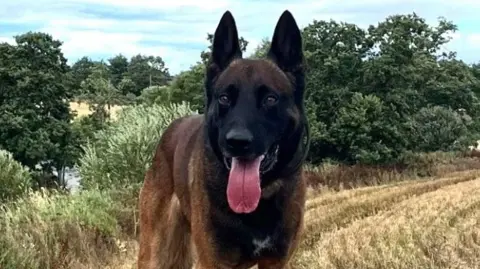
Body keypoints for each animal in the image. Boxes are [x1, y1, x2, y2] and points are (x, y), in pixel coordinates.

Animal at [138, 8, 312, 268]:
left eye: (270, 99)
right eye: (224, 98)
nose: (237, 142)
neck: (261, 196)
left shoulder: (275, 262)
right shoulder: (214, 261)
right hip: (154, 251)